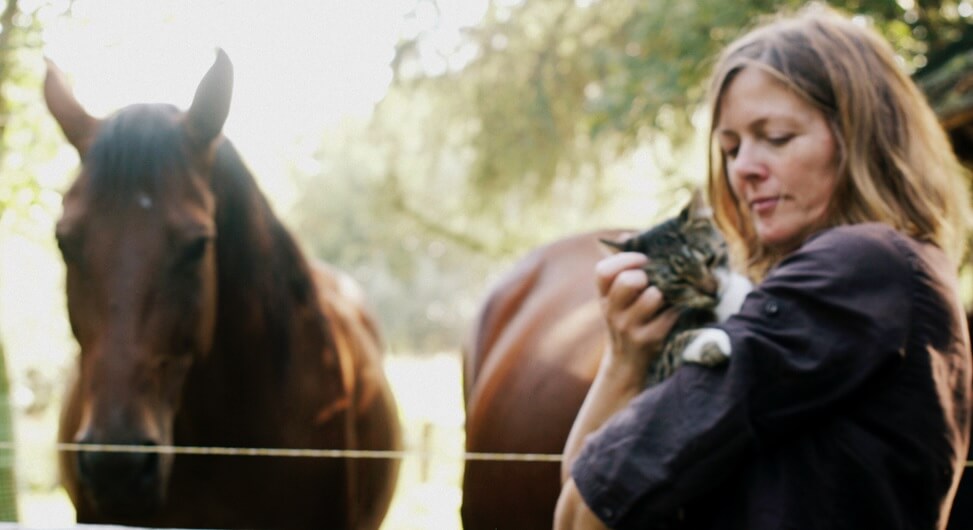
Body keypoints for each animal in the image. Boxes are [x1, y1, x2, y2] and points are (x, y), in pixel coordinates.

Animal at [600, 190, 752, 384]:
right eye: (680, 281)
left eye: (710, 260)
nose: (712, 291)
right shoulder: (656, 371)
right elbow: (674, 346)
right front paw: (710, 340)